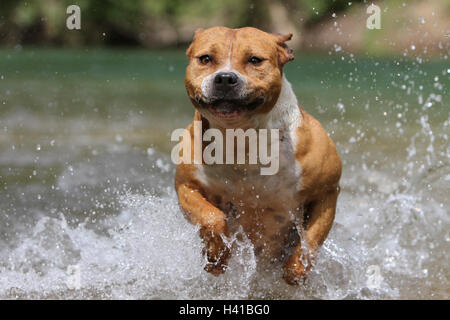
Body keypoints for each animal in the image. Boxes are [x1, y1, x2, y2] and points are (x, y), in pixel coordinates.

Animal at [176, 26, 342, 284]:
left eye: (255, 60)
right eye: (205, 59)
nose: (225, 78)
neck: (240, 138)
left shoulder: (327, 192)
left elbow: (311, 240)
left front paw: (296, 269)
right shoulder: (187, 186)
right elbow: (211, 217)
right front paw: (217, 255)